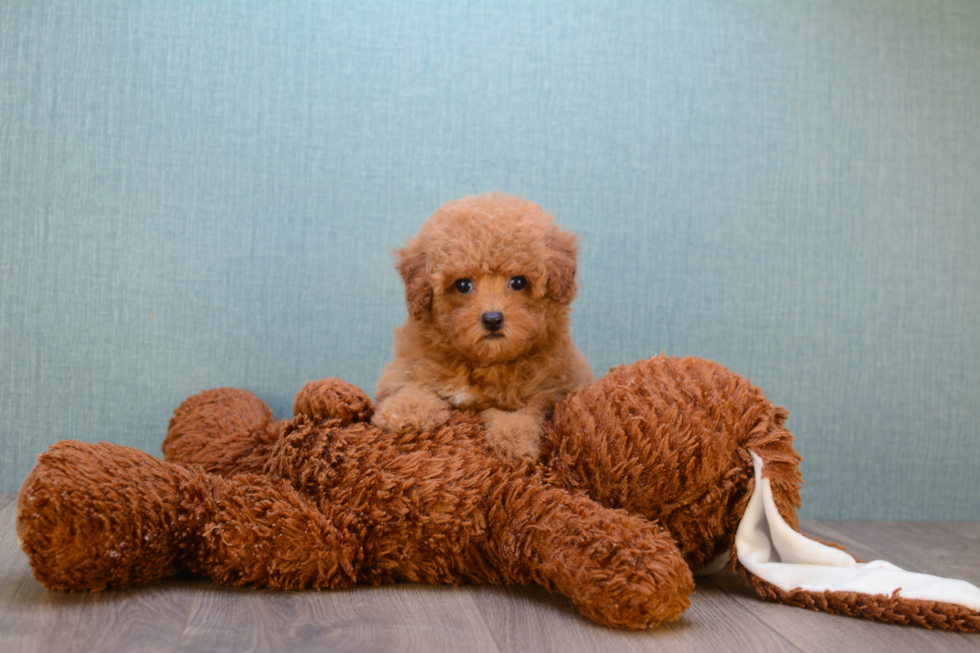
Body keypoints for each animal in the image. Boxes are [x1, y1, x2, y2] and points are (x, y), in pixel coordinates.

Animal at [374, 192, 588, 458]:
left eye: (519, 282)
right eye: (463, 285)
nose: (493, 319)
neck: (483, 362)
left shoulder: (550, 391)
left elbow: (523, 412)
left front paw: (514, 439)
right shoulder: (405, 368)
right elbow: (413, 386)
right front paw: (405, 411)